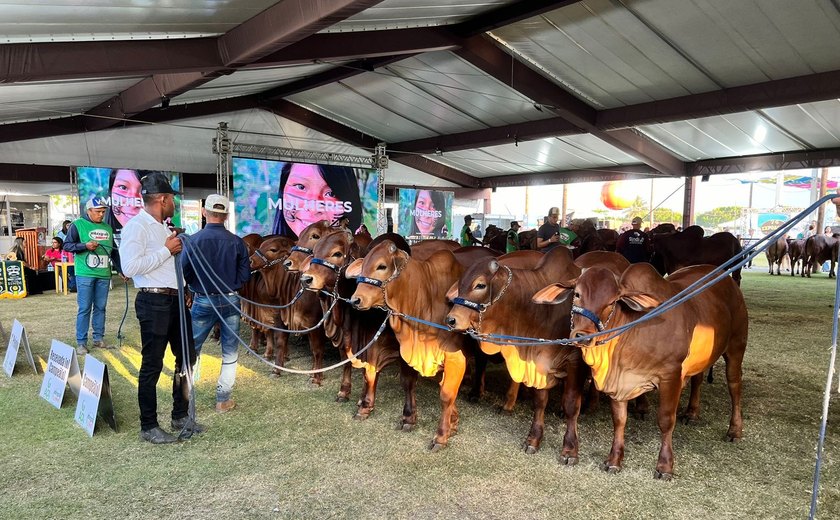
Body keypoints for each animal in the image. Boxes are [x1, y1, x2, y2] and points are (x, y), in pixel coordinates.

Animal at [346, 242, 492, 448]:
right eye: (364, 264)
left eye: (381, 266)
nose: (356, 299)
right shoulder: (404, 352)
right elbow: (405, 382)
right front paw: (410, 419)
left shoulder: (455, 357)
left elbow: (446, 394)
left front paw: (442, 435)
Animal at [446, 246, 584, 462]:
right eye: (460, 284)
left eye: (480, 285)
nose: (451, 320)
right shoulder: (537, 362)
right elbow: (540, 401)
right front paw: (534, 439)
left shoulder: (575, 362)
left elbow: (572, 405)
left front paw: (570, 449)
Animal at [536, 264, 744, 480]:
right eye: (577, 294)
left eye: (613, 302)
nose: (583, 336)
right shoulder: (620, 382)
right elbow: (619, 420)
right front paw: (614, 460)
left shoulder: (671, 375)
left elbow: (666, 420)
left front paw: (664, 466)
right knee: (698, 379)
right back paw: (692, 413)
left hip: (736, 347)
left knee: (735, 386)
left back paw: (734, 430)